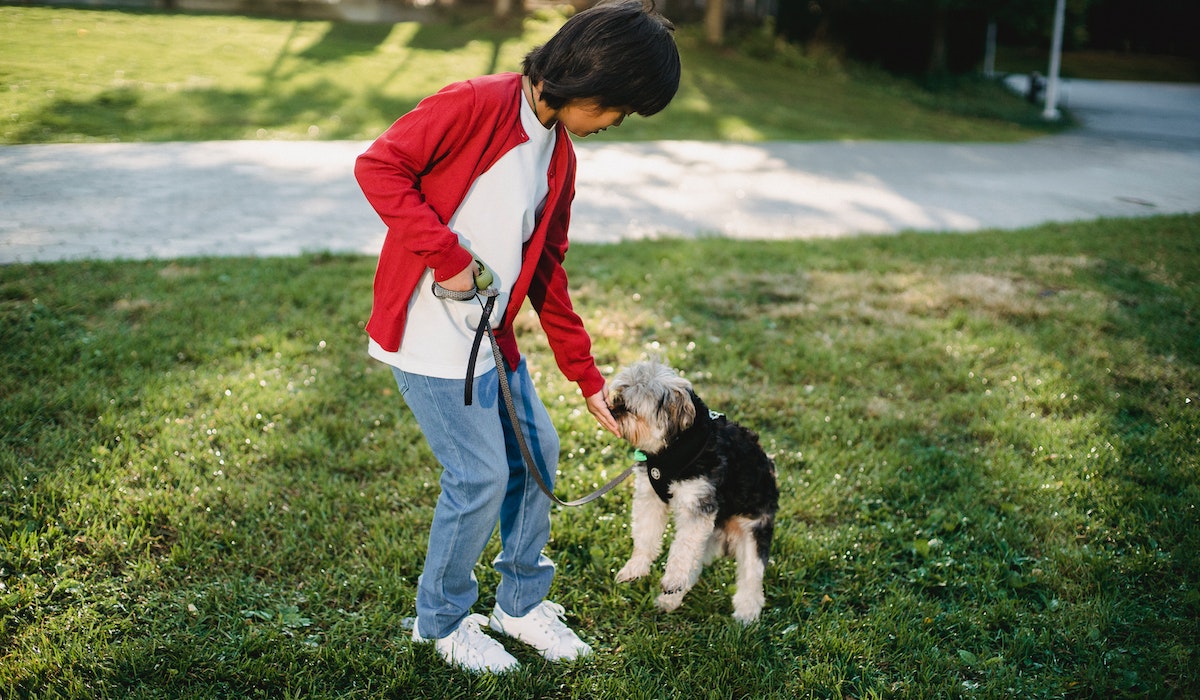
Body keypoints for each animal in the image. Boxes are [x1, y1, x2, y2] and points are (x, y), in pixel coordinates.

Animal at [609, 362, 777, 624]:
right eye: (617, 399)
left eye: (629, 408)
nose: (611, 410)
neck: (672, 448)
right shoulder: (650, 497)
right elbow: (646, 536)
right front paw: (636, 567)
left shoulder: (697, 507)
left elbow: (681, 549)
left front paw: (671, 579)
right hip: (707, 537)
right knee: (694, 564)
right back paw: (671, 599)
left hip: (754, 529)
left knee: (751, 575)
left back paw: (747, 613)